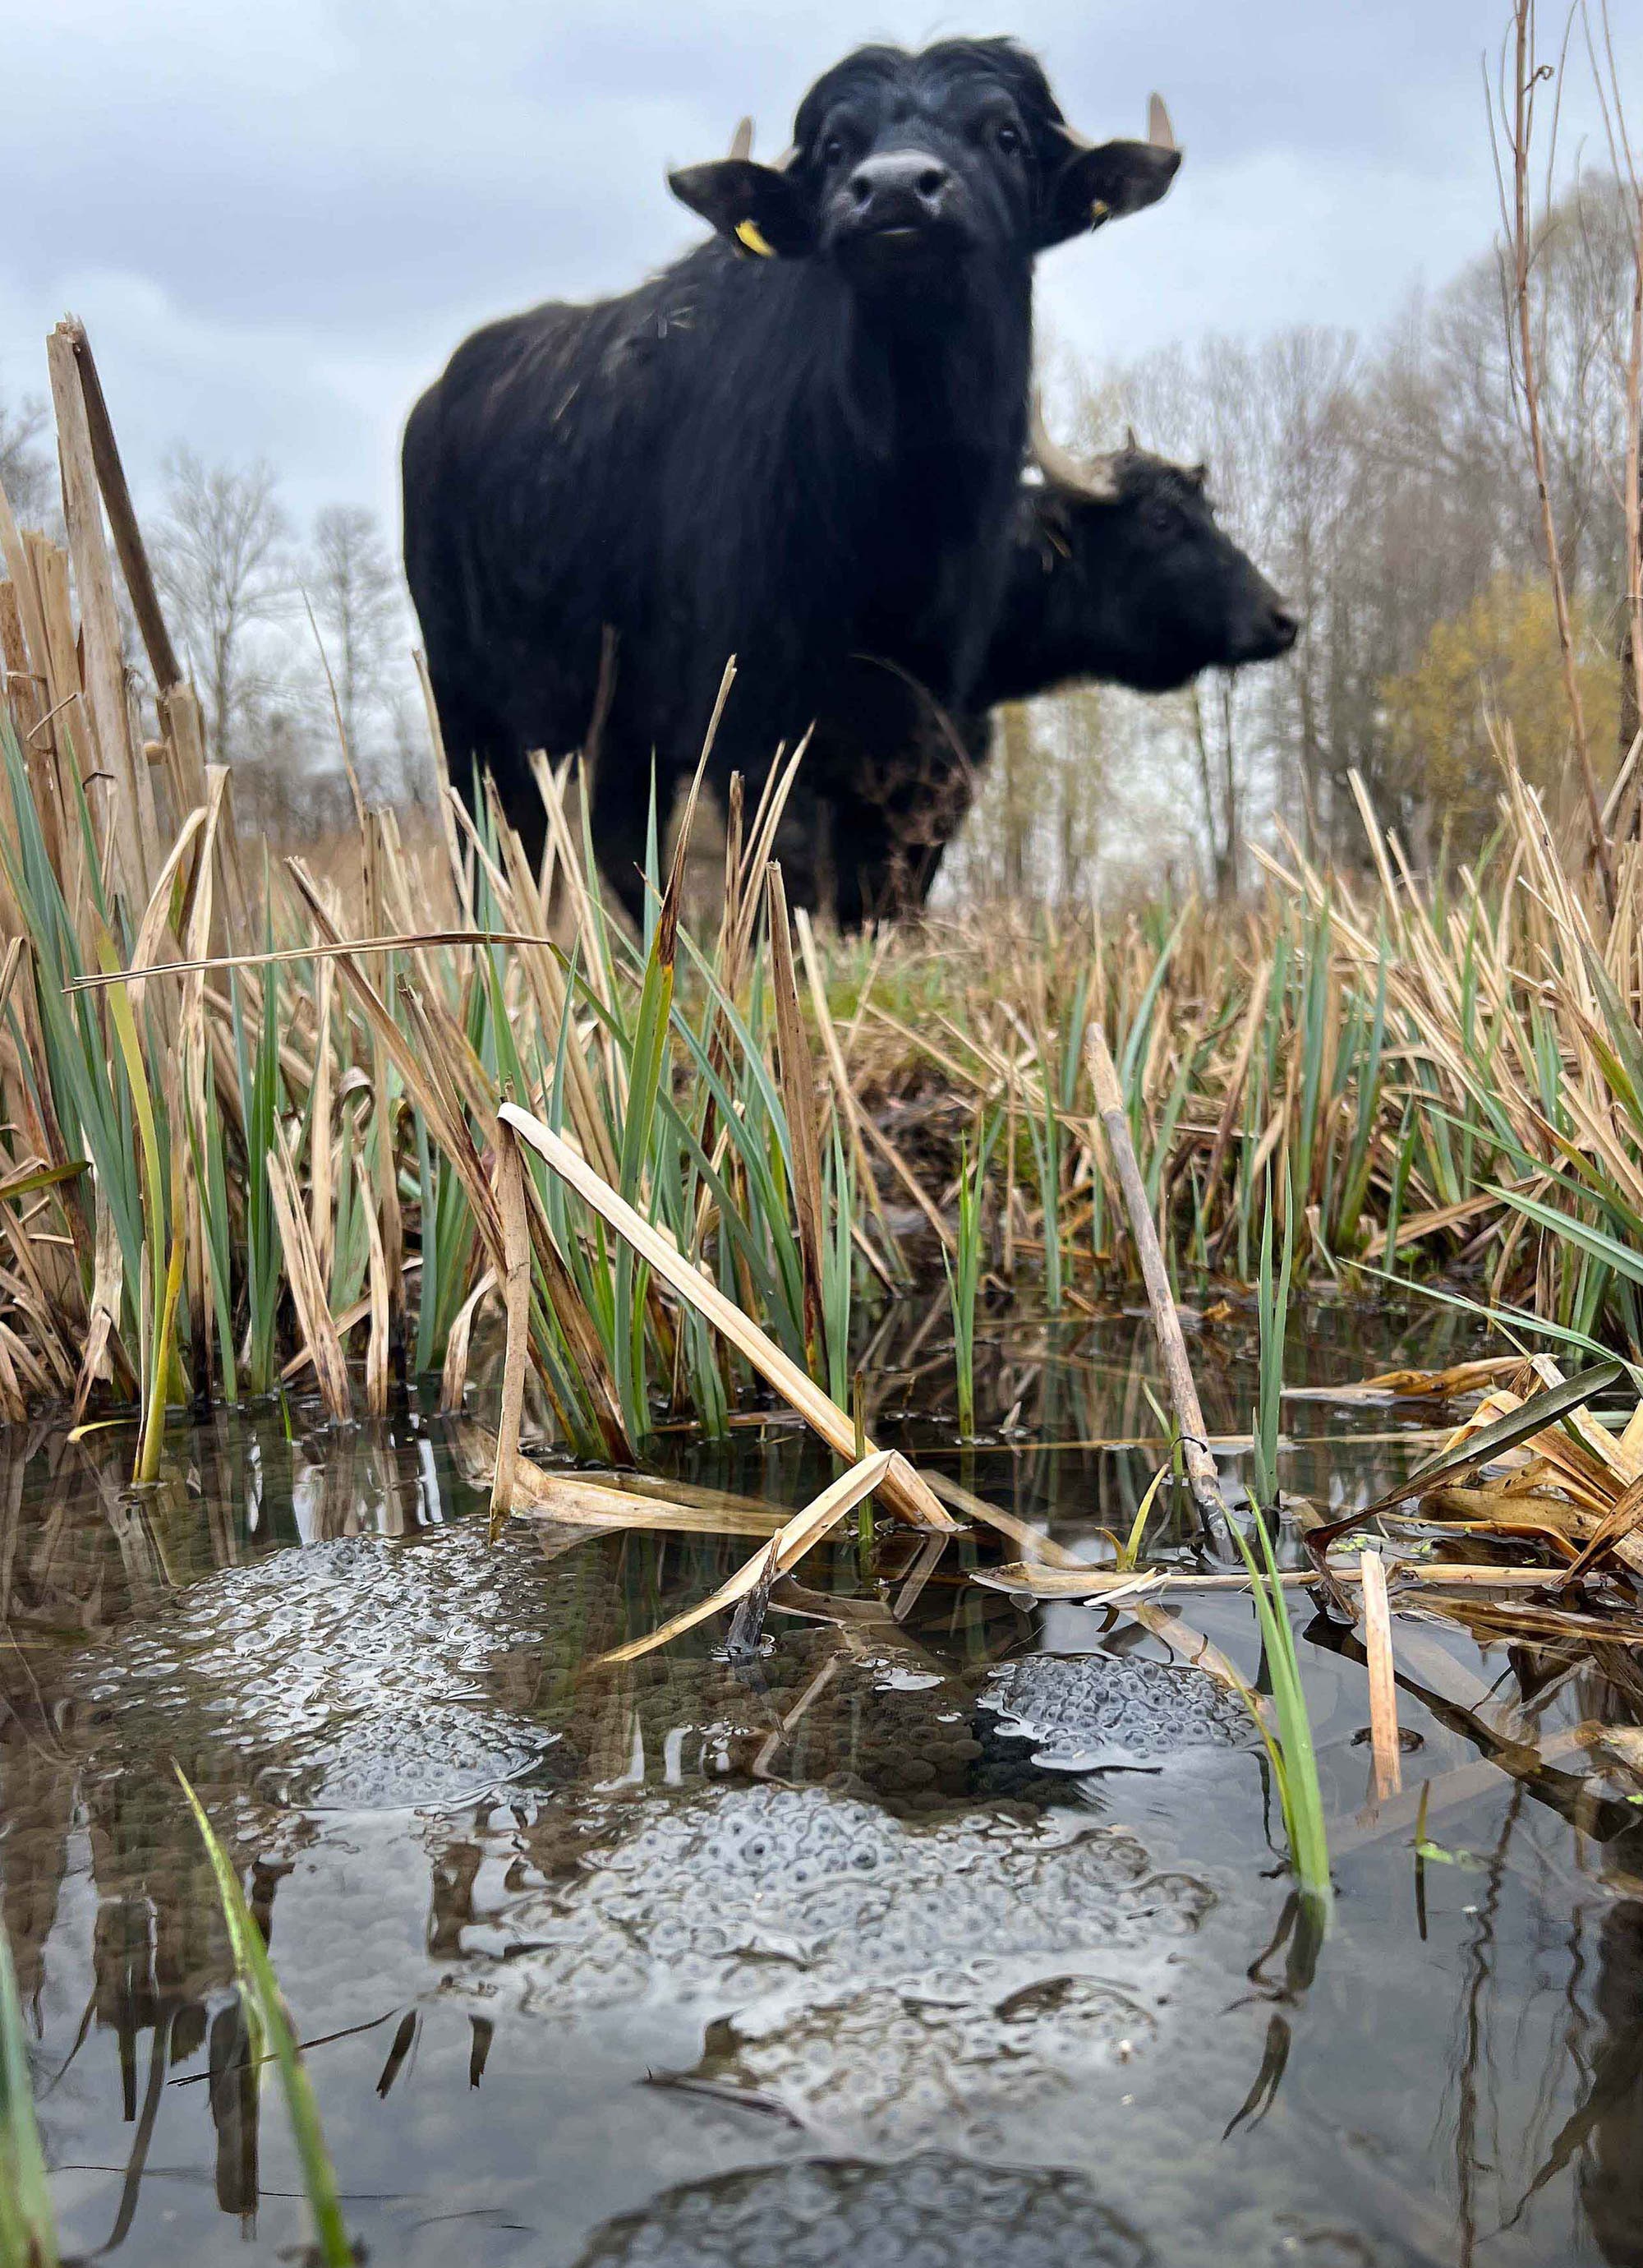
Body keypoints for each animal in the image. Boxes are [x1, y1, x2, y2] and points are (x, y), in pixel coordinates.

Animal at [407, 42, 1178, 920]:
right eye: (837, 146)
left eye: (1007, 134)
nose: (894, 190)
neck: (899, 513)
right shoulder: (750, 728)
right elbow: (785, 878)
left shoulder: (926, 738)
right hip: (469, 709)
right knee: (495, 843)